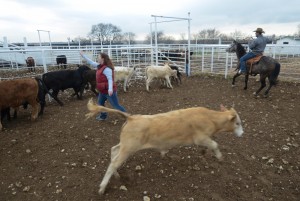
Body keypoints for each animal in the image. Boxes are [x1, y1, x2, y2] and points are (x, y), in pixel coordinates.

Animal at [85, 99, 244, 195]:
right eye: (238, 123)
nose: (242, 134)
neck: (210, 118)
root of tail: (131, 117)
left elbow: (209, 145)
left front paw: (205, 152)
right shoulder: (200, 137)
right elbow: (215, 144)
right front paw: (220, 157)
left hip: (125, 145)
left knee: (113, 151)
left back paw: (117, 175)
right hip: (128, 148)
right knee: (114, 162)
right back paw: (102, 187)